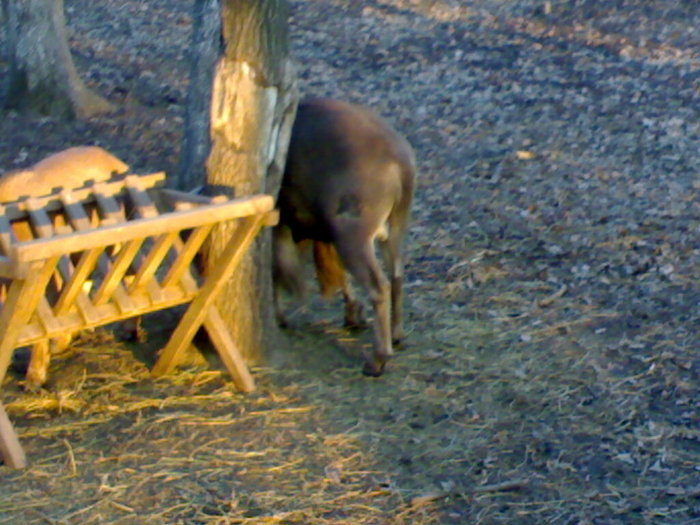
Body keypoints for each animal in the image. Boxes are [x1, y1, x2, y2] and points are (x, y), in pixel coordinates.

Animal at [274, 98, 416, 374]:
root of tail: (399, 165)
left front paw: (282, 316)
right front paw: (354, 315)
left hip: (353, 235)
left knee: (378, 286)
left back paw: (377, 359)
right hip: (394, 227)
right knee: (396, 275)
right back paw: (397, 335)